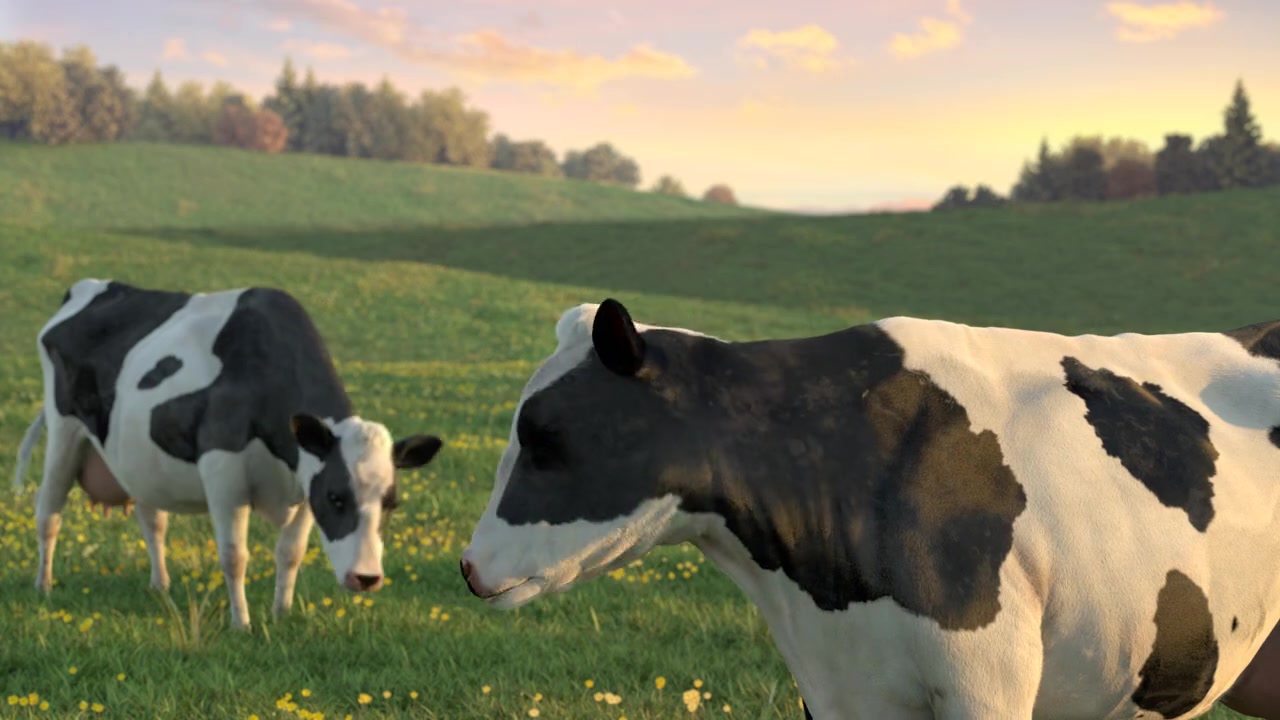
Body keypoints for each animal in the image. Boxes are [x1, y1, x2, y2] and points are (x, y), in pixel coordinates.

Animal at [13, 278, 445, 631]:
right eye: (337, 497)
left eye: (392, 503)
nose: (366, 578)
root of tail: (88, 287)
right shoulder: (223, 472)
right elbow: (235, 555)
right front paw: (242, 624)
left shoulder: (305, 483)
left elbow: (290, 553)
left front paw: (281, 613)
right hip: (64, 432)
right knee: (48, 511)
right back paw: (43, 585)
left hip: (139, 460)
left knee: (152, 520)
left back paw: (160, 585)